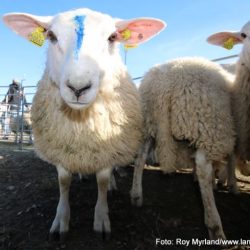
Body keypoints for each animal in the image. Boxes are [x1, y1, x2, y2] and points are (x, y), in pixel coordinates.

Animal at [2, 8, 166, 240]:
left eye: (112, 37)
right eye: (51, 36)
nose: (78, 87)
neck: (80, 122)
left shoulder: (108, 145)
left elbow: (103, 181)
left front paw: (101, 219)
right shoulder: (61, 148)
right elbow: (63, 182)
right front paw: (61, 221)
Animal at [131, 57, 236, 240]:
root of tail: (163, 87)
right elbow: (230, 159)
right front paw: (229, 184)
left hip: (148, 124)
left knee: (140, 158)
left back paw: (136, 196)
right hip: (208, 125)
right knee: (203, 166)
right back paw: (215, 227)